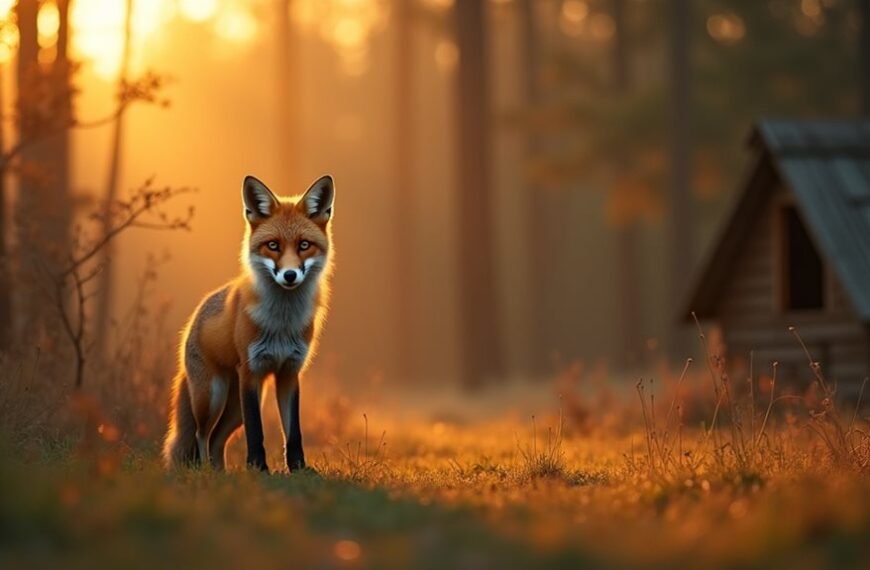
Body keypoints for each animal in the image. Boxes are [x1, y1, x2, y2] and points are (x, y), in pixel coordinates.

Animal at [163, 174, 335, 472]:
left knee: (217, 439)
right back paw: (206, 471)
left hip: (233, 410)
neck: (282, 323)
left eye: (304, 245)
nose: (290, 275)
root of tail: (195, 315)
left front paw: (299, 469)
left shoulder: (290, 372)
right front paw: (258, 468)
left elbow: (294, 431)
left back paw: (221, 473)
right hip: (212, 397)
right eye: (273, 245)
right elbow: (257, 431)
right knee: (201, 435)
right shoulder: (251, 372)